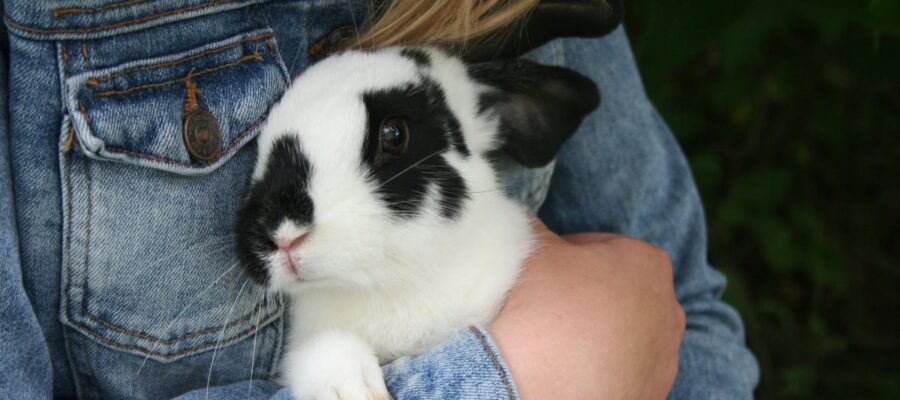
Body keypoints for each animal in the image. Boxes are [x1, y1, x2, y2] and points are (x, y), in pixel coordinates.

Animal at [234, 46, 599, 400]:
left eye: (394, 134)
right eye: (260, 149)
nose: (282, 234)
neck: (392, 286)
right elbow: (322, 353)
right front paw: (352, 389)